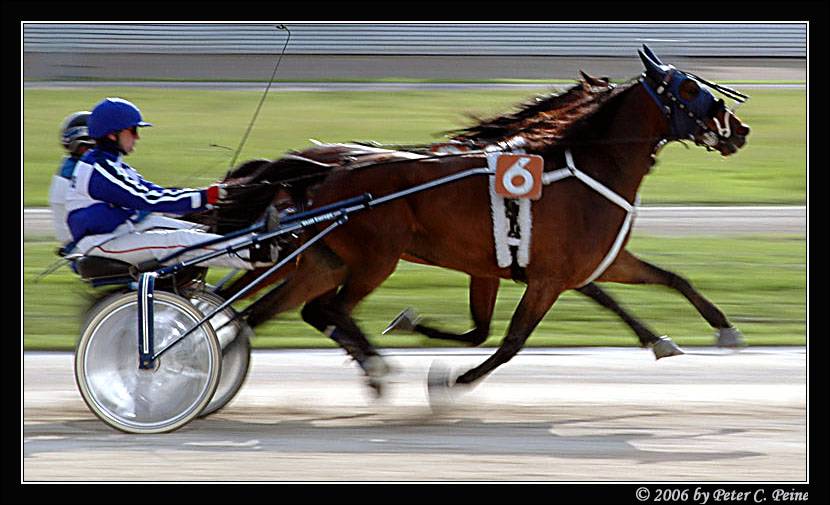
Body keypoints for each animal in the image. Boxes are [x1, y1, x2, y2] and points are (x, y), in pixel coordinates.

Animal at [205, 47, 752, 394]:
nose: (740, 128)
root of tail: (326, 172)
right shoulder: (550, 277)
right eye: (689, 88)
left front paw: (713, 331)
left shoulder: (573, 264)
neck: (582, 165)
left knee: (273, 312)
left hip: (323, 259)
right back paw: (374, 367)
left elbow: (669, 279)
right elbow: (510, 341)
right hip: (373, 259)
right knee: (326, 311)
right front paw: (455, 379)